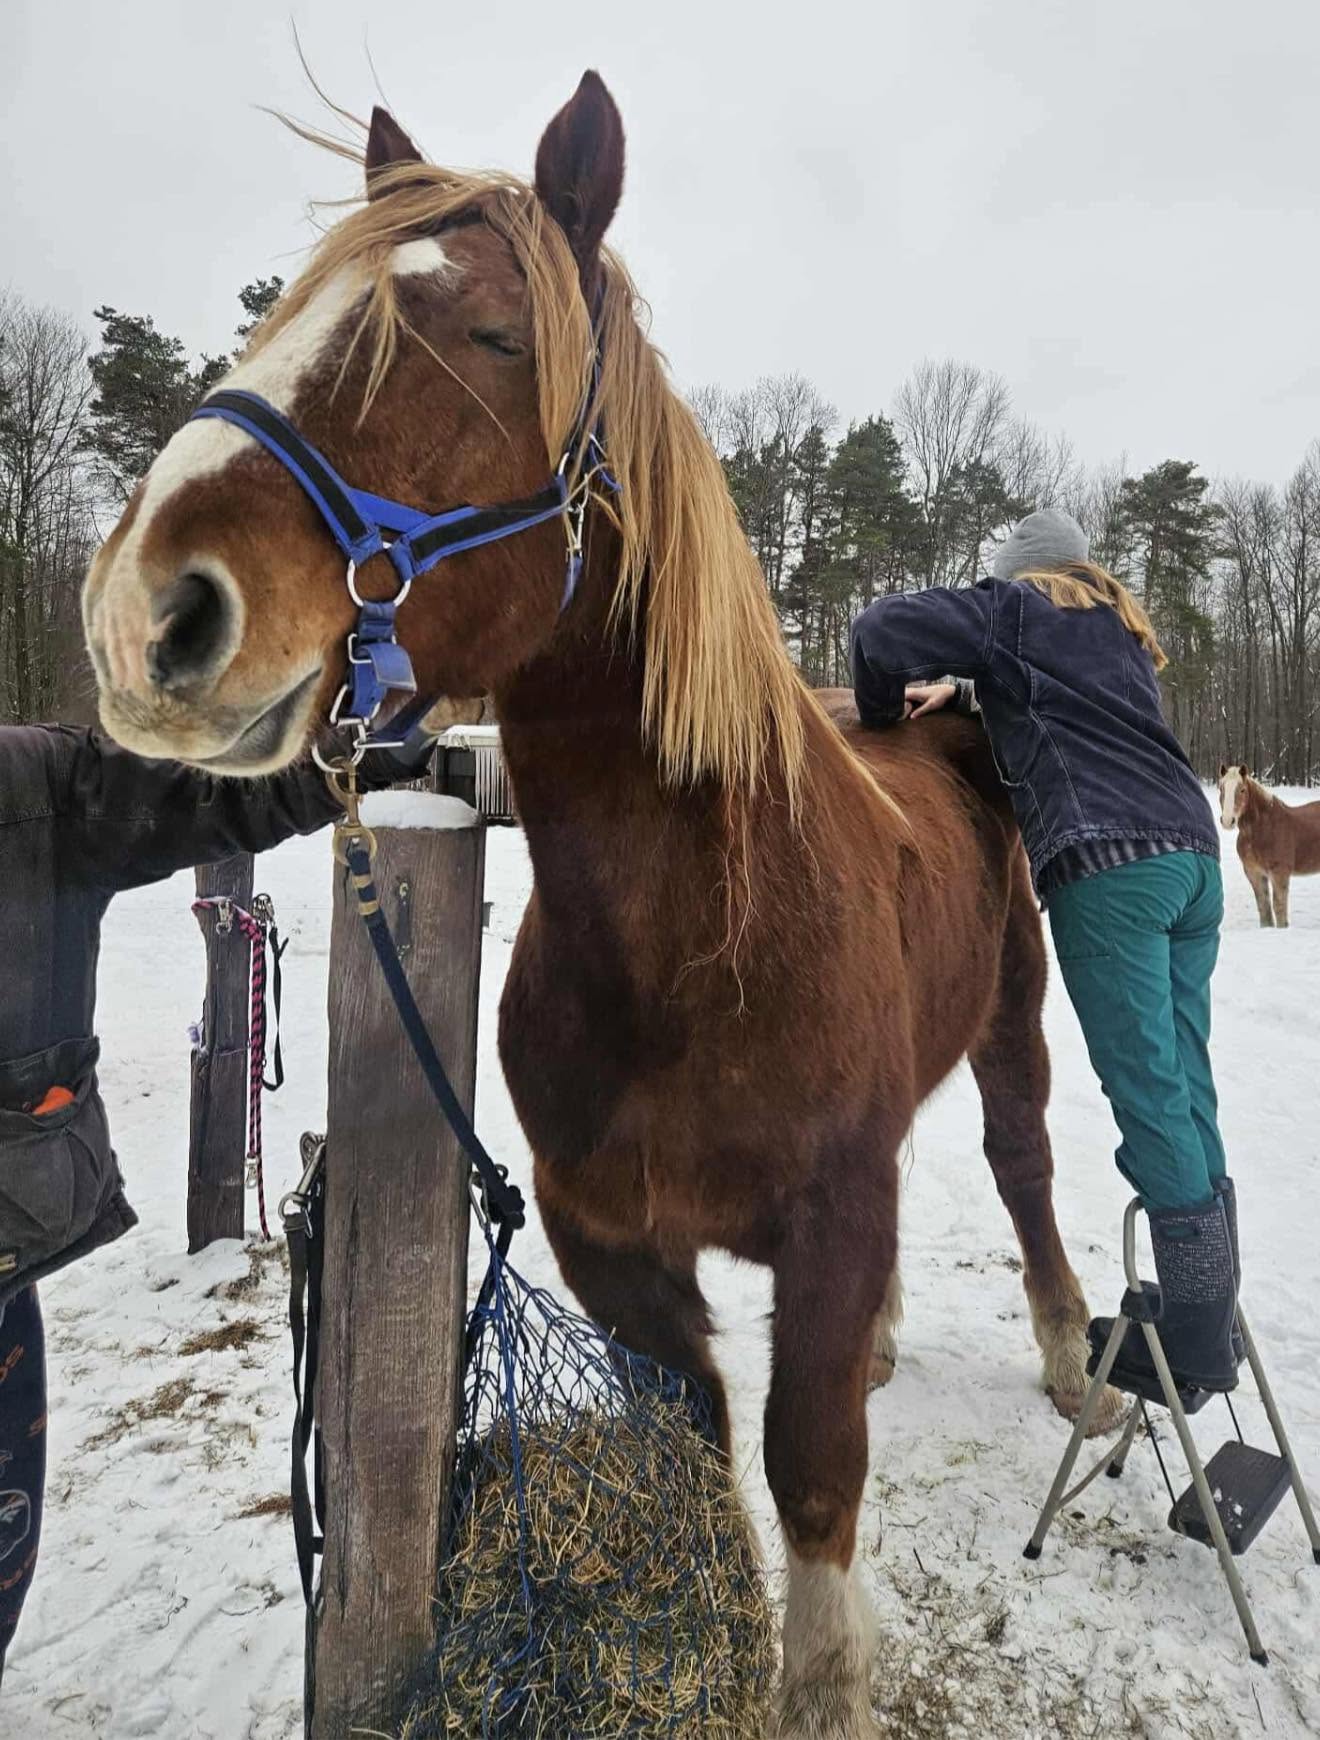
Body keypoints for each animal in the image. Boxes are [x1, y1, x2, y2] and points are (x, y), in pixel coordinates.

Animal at [83, 74, 1120, 1739]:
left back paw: (1070, 1356)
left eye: (499, 335)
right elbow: (704, 1443)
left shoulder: (825, 1223)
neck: (698, 940)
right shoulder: (613, 1248)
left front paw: (821, 1681)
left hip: (1014, 1020)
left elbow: (810, 1470)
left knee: (1021, 1168)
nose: (149, 613)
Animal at [1219, 763, 1320, 928]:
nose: (1228, 821)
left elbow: (1279, 908)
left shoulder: (1279, 873)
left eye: (1242, 790)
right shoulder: (1254, 873)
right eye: (1221, 789)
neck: (1263, 828)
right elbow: (1264, 907)